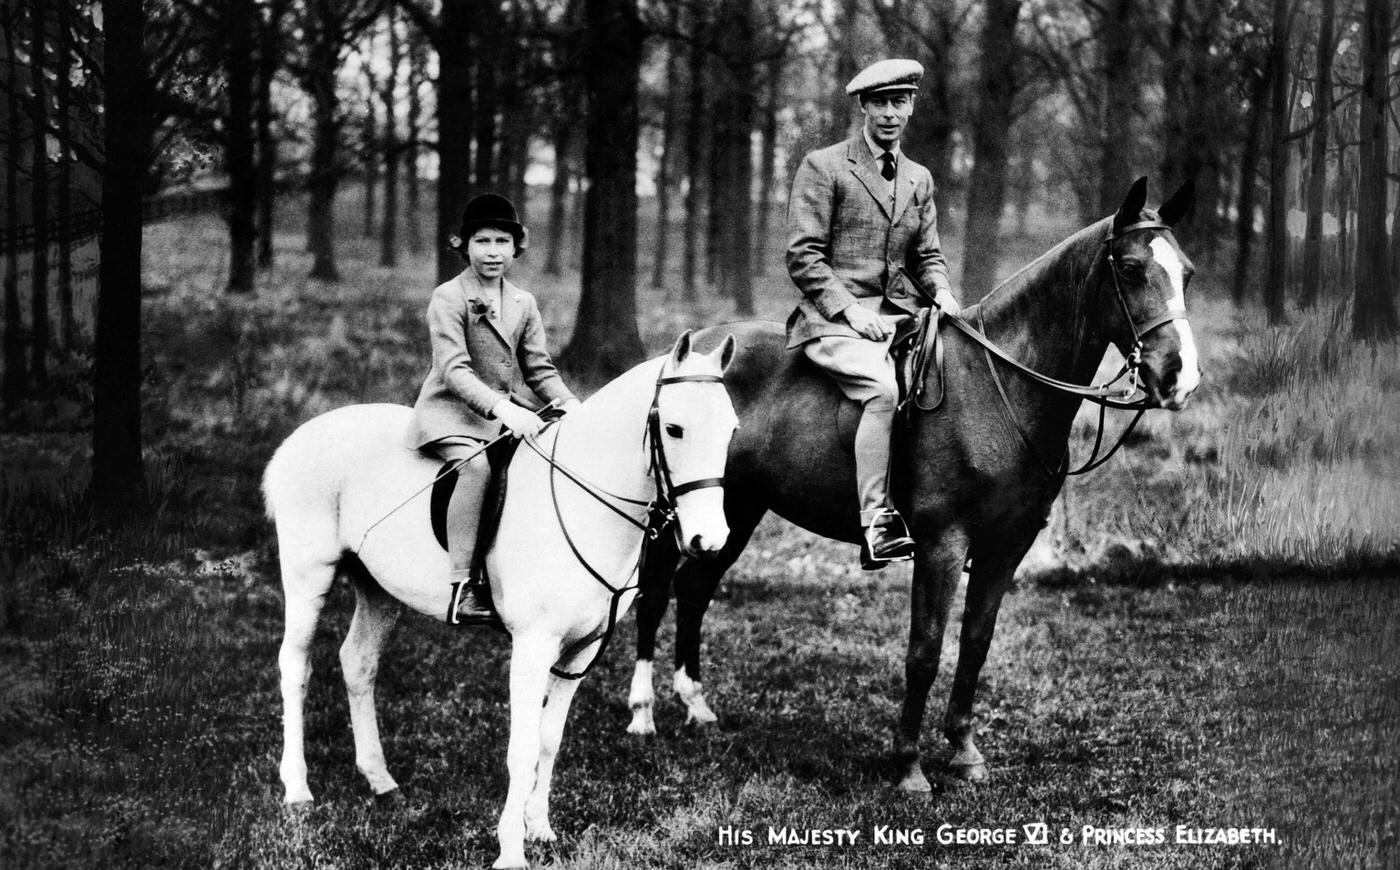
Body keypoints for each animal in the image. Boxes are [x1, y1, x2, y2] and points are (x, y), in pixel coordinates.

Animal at [264, 329, 744, 862]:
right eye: (675, 429)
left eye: (731, 430)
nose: (709, 540)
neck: (584, 503)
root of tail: (303, 435)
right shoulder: (532, 647)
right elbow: (523, 749)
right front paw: (511, 851)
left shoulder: (580, 653)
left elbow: (549, 740)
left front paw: (540, 828)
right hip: (309, 575)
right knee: (296, 668)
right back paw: (298, 789)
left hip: (379, 588)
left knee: (358, 663)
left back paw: (380, 780)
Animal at [630, 179, 1198, 790]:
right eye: (1132, 268)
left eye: (1187, 273)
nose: (1181, 378)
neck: (998, 388)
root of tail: (692, 348)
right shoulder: (942, 544)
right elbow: (924, 651)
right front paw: (908, 766)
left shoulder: (1007, 545)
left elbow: (975, 644)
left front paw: (965, 751)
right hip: (679, 503)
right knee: (656, 592)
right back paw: (643, 714)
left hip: (734, 505)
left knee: (695, 587)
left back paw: (697, 707)